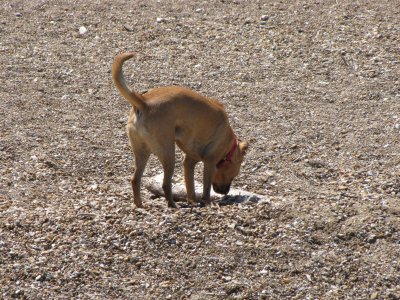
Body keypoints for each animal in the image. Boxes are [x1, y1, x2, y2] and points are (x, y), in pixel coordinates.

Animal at [112, 52, 248, 209]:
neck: (228, 146)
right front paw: (206, 202)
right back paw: (172, 204)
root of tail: (144, 102)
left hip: (142, 152)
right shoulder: (209, 162)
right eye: (233, 175)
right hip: (168, 153)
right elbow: (206, 188)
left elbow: (190, 186)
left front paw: (192, 201)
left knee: (135, 179)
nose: (224, 192)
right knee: (165, 184)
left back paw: (139, 204)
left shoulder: (189, 162)